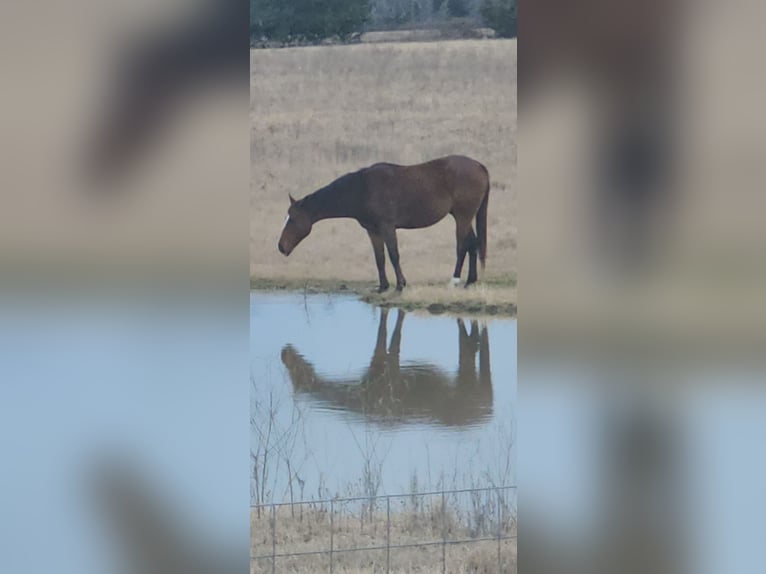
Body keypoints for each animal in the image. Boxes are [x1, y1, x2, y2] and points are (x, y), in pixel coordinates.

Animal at [280, 155, 488, 292]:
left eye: (293, 219)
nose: (281, 247)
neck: (362, 188)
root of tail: (479, 166)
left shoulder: (387, 227)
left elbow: (394, 255)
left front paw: (400, 285)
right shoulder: (373, 231)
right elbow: (379, 257)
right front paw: (383, 286)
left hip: (462, 216)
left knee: (462, 246)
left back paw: (454, 280)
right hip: (464, 216)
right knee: (473, 243)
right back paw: (470, 281)